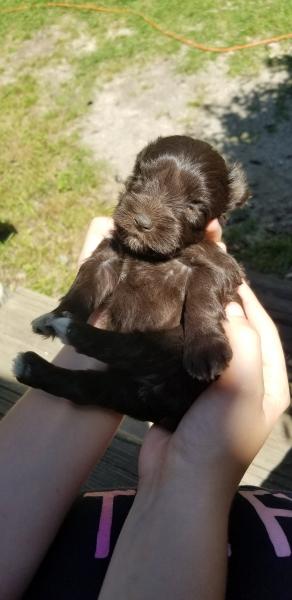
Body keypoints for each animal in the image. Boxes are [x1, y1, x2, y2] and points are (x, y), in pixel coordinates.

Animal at [13, 137, 250, 426]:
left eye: (194, 206)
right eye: (140, 180)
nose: (142, 221)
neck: (149, 254)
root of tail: (156, 400)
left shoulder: (220, 266)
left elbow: (202, 295)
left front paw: (206, 350)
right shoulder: (105, 258)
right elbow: (83, 288)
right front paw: (56, 313)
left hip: (168, 343)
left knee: (129, 348)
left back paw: (65, 332)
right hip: (123, 385)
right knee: (88, 385)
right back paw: (35, 362)